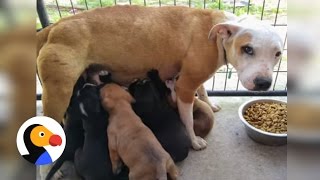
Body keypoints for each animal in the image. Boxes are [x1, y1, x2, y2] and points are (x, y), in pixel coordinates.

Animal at [36, 4, 284, 151]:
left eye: (278, 54)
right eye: (247, 49)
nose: (263, 83)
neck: (217, 35)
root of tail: (53, 27)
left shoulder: (196, 76)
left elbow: (203, 89)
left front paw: (210, 103)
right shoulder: (185, 88)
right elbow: (188, 119)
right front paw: (194, 141)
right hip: (57, 94)